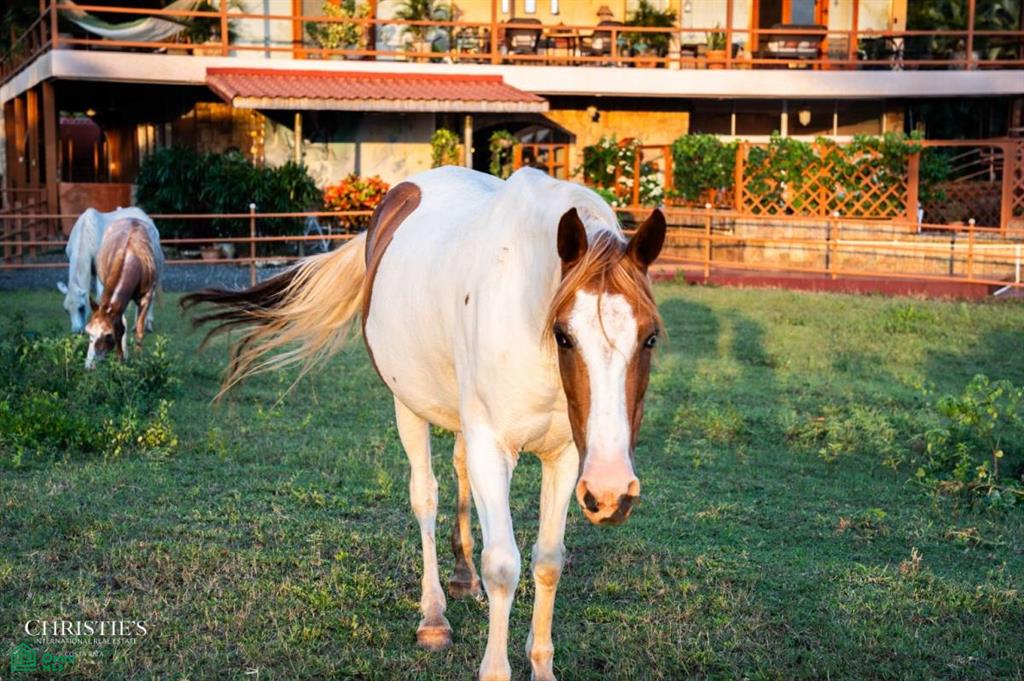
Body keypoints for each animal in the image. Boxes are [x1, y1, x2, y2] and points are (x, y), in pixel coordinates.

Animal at [84, 218, 161, 369]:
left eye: (108, 335)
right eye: (88, 331)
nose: (89, 365)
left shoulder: (146, 297)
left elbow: (139, 329)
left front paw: (138, 359)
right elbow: (120, 329)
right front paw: (120, 360)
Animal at [181, 167, 666, 681]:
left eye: (650, 337)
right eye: (564, 335)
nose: (612, 491)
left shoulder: (568, 456)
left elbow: (548, 561)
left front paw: (542, 666)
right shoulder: (493, 447)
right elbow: (503, 566)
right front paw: (493, 665)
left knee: (459, 475)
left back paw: (462, 577)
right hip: (407, 407)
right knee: (426, 497)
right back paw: (433, 616)